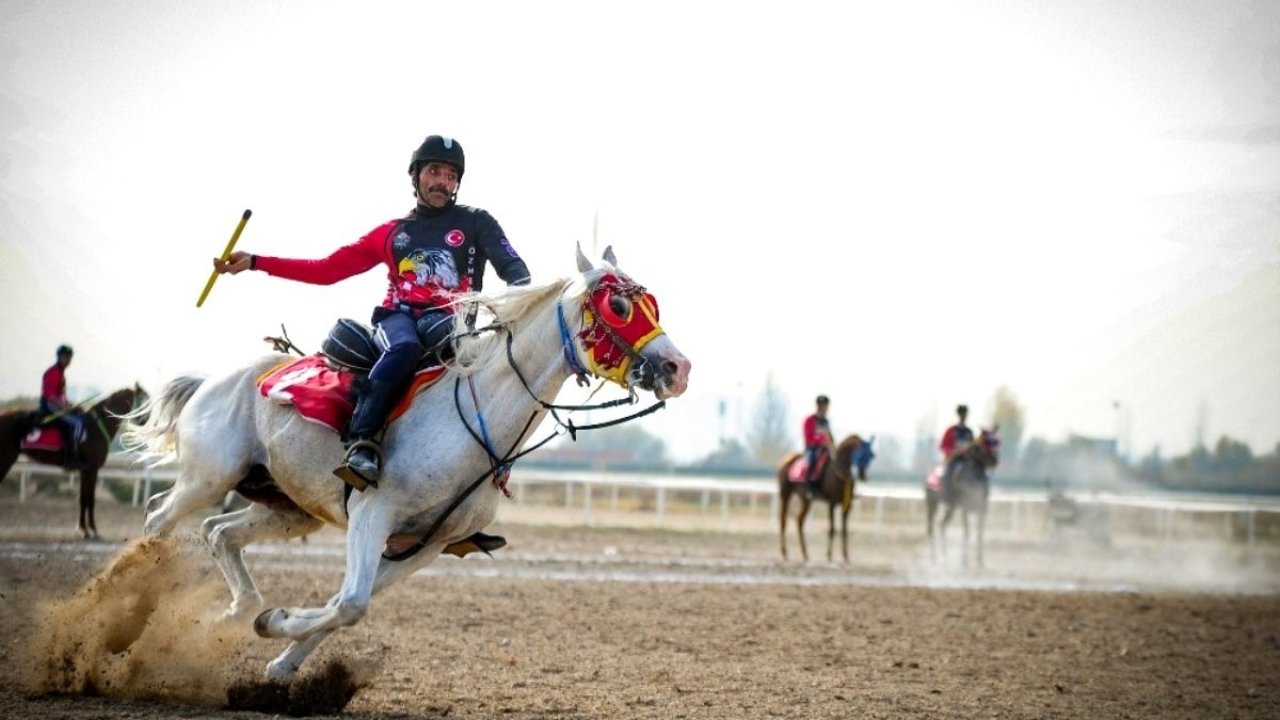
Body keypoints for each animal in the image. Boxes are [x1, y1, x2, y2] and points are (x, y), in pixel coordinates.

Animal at [0, 384, 146, 535]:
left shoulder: (84, 471)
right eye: (143, 399)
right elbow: (90, 499)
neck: (96, 426)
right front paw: (92, 529)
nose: (145, 421)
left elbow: (83, 499)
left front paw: (82, 528)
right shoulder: (92, 470)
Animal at [124, 244, 691, 676]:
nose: (677, 367)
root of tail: (214, 380)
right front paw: (276, 625)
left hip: (288, 508)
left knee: (219, 532)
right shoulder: (373, 514)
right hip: (208, 477)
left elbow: (346, 606)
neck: (472, 424)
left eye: (653, 305)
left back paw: (237, 610)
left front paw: (280, 657)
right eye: (618, 305)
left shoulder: (424, 545)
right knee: (158, 519)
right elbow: (351, 603)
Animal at [773, 430, 875, 561]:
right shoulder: (832, 503)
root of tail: (786, 459)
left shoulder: (847, 506)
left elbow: (844, 530)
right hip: (785, 493)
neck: (840, 472)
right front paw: (829, 555)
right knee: (783, 520)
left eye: (871, 455)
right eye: (861, 454)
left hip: (805, 500)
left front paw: (845, 556)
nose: (863, 476)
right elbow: (832, 529)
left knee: (799, 520)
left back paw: (805, 554)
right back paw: (785, 552)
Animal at [931, 425, 998, 566]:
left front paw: (980, 560)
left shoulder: (982, 507)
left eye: (997, 441)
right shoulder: (965, 507)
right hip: (932, 504)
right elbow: (967, 532)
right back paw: (934, 557)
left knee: (942, 525)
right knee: (931, 529)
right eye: (986, 442)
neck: (976, 475)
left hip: (951, 508)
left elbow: (979, 533)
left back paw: (944, 555)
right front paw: (964, 561)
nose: (994, 461)